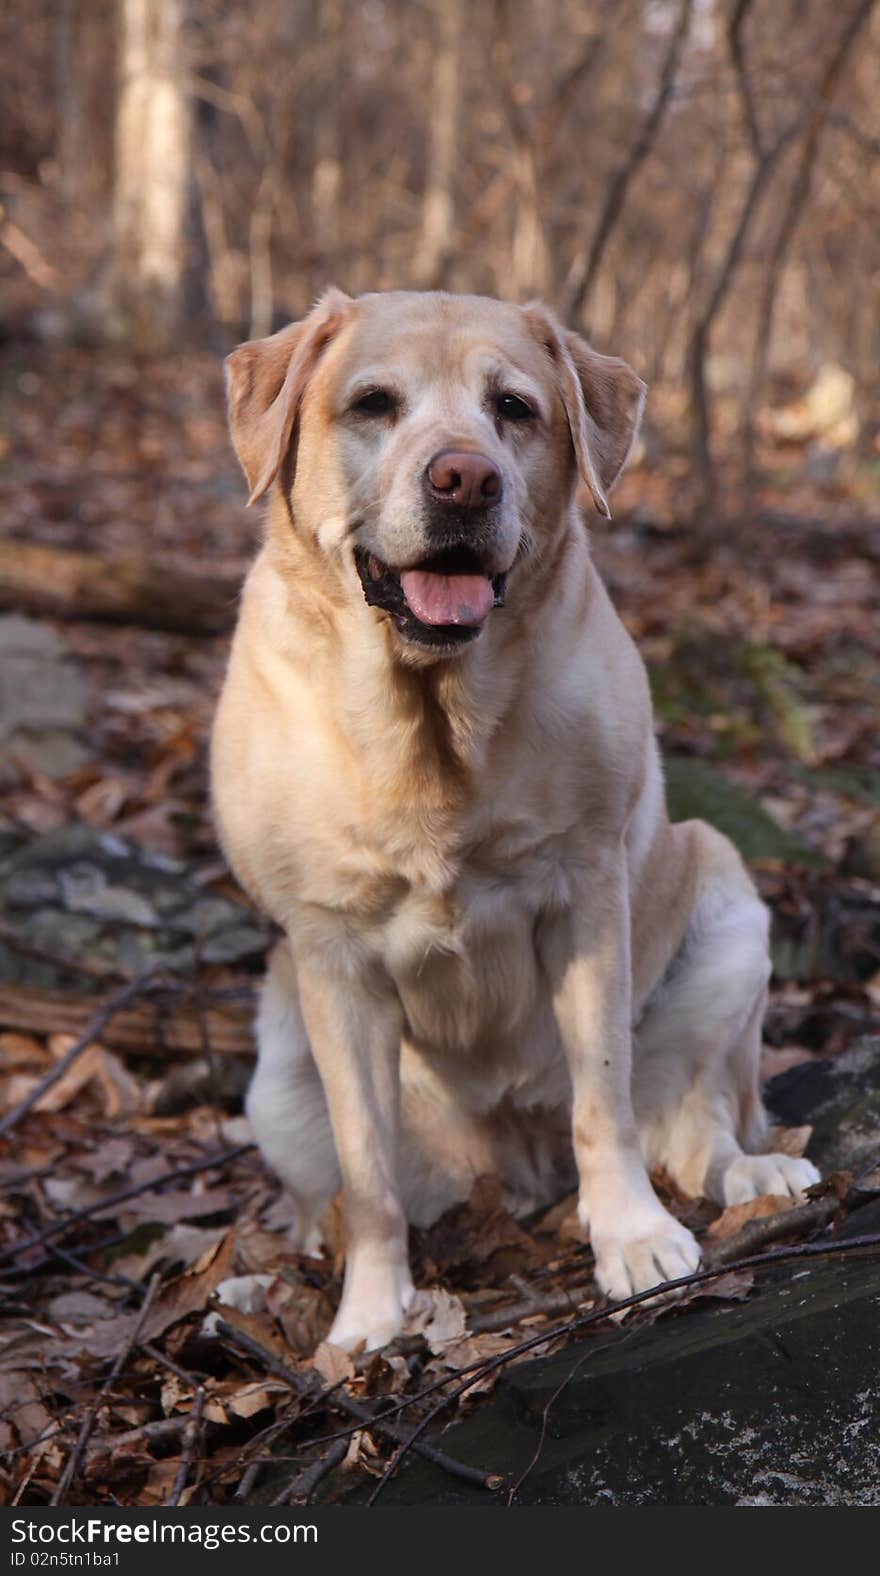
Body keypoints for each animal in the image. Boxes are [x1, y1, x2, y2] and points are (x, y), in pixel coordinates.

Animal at [212, 289, 820, 1349]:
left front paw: (632, 1239)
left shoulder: (585, 895)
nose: (465, 479)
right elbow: (368, 1179)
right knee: (332, 1203)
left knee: (695, 1124)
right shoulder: (330, 956)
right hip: (277, 1063)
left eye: (514, 408)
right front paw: (368, 1322)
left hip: (727, 909)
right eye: (373, 403)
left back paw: (757, 1173)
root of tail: (518, 1168)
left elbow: (604, 1099)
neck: (431, 719)